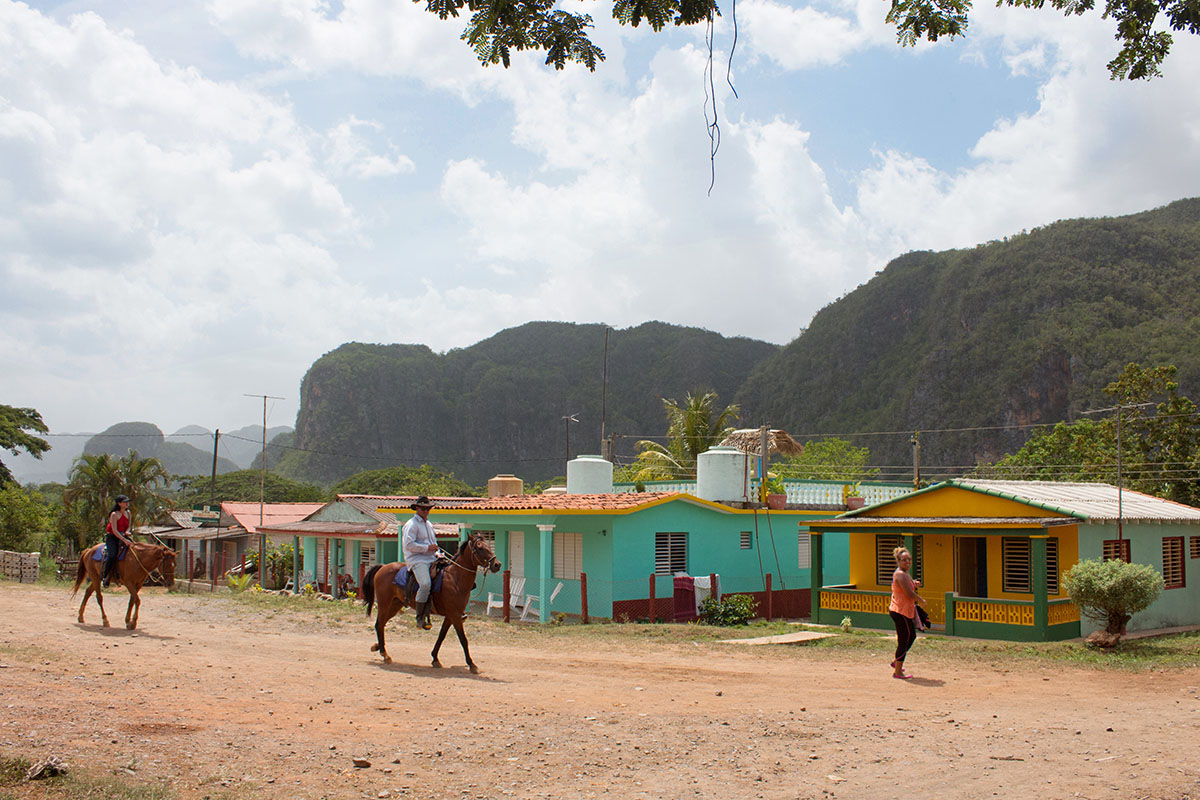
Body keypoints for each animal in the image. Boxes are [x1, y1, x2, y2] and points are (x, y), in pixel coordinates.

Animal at [360, 534, 501, 671]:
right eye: (480, 547)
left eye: (488, 545)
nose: (497, 564)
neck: (455, 578)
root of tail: (383, 567)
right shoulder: (455, 615)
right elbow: (463, 639)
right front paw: (472, 664)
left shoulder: (450, 616)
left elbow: (441, 636)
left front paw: (435, 658)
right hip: (384, 604)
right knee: (379, 624)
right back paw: (385, 654)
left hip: (394, 605)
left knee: (381, 624)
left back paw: (378, 647)